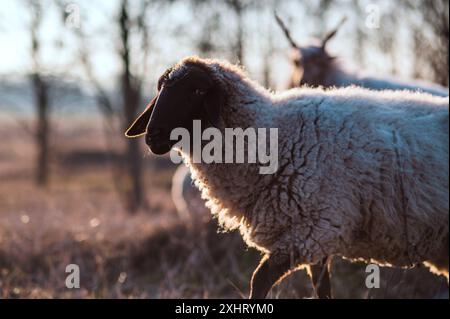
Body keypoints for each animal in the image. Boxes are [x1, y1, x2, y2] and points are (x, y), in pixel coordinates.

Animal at [125, 57, 450, 300]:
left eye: (196, 91)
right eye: (160, 89)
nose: (152, 137)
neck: (275, 137)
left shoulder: (312, 231)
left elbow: (259, 280)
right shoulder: (318, 237)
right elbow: (321, 289)